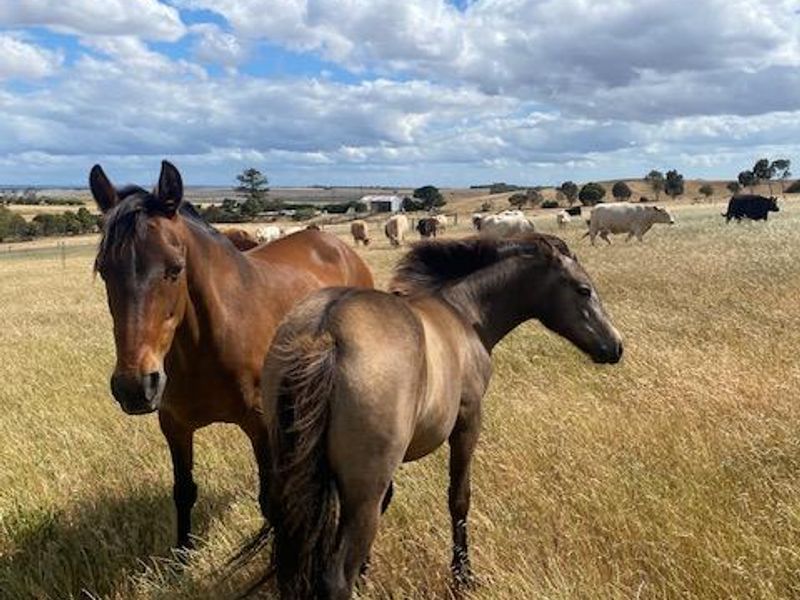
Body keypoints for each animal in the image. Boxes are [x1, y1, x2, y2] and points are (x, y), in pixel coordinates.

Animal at [89, 160, 374, 550]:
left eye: (175, 268)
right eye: (104, 269)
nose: (134, 386)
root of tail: (335, 244)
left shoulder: (259, 424)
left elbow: (270, 500)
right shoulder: (174, 425)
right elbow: (183, 491)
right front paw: (182, 556)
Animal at [237, 233, 623, 598]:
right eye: (584, 289)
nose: (616, 346)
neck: (462, 313)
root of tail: (324, 332)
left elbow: (389, 503)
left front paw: (367, 573)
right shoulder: (467, 423)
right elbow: (459, 497)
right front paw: (463, 576)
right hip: (363, 488)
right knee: (336, 577)